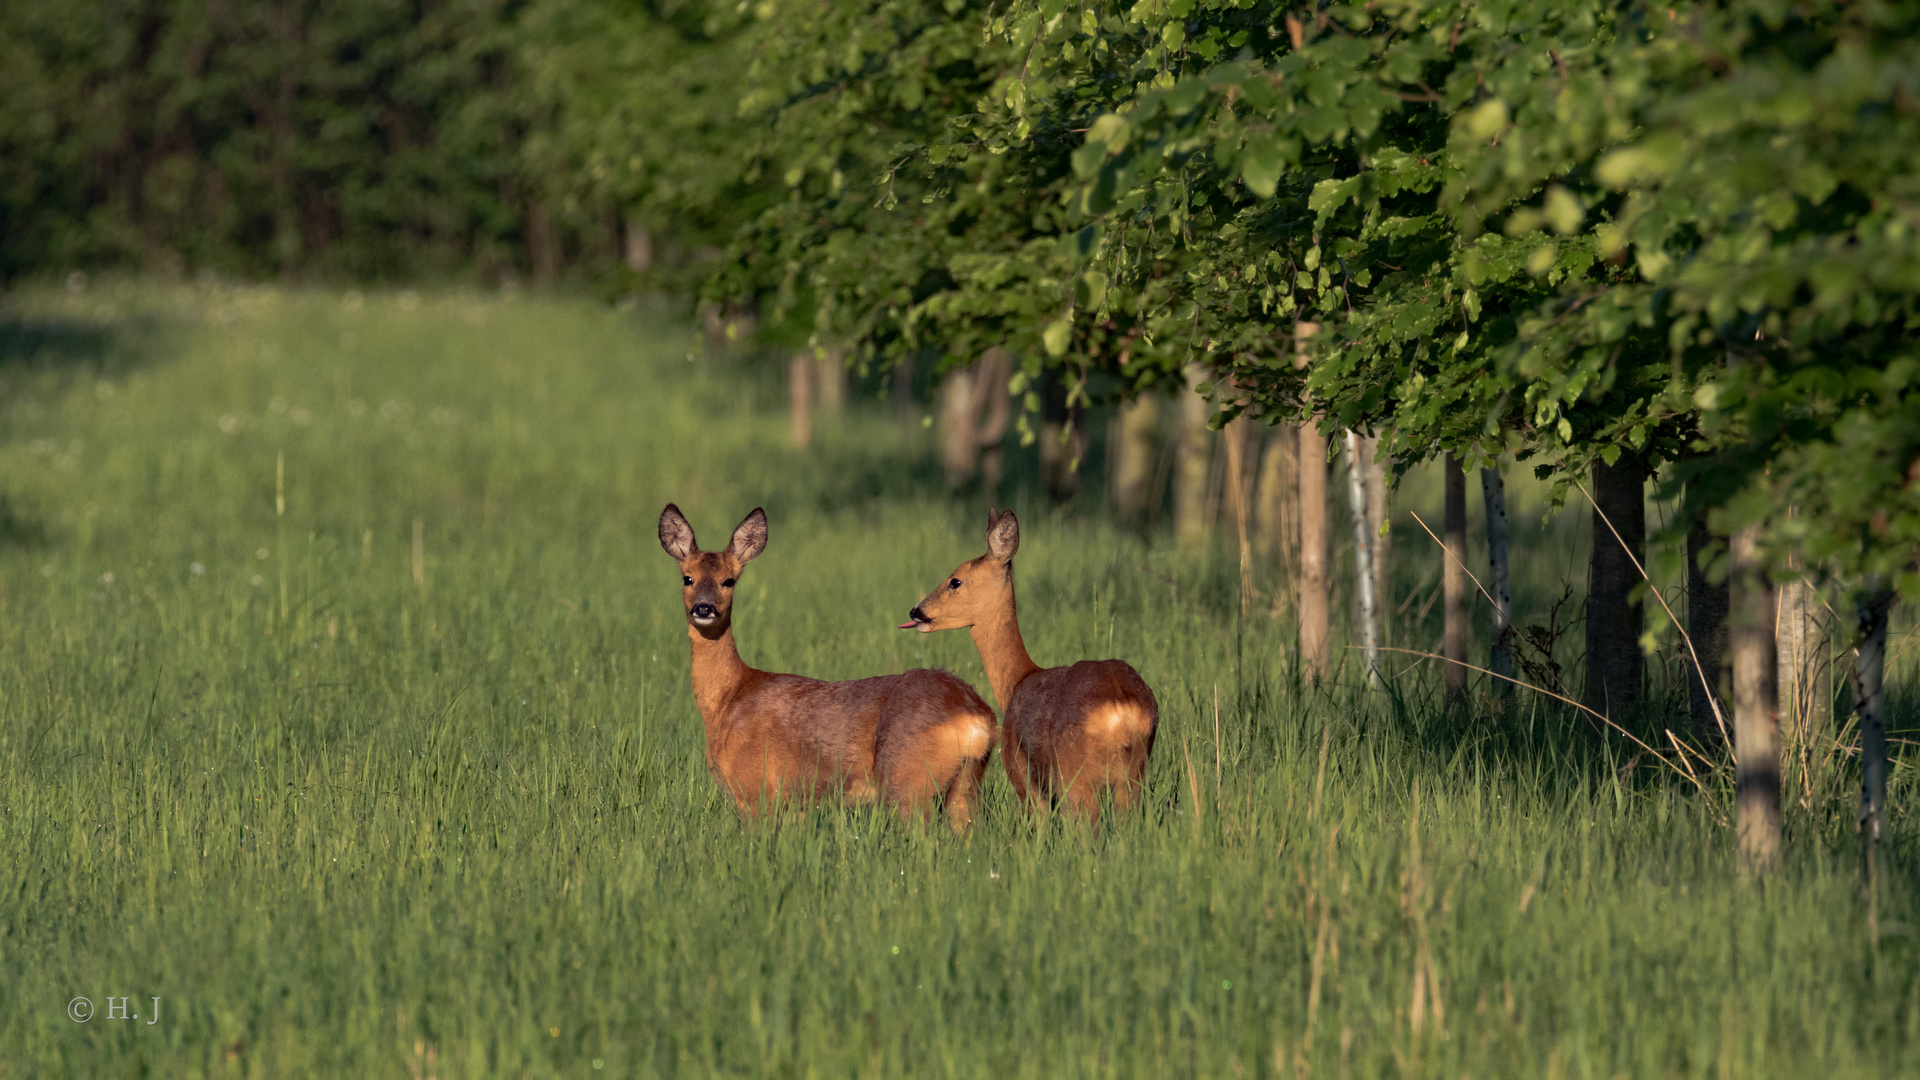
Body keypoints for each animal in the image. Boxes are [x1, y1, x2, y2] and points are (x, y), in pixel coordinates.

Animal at [660, 499, 998, 826]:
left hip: (907, 780)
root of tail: (976, 718)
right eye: (687, 578)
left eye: (728, 580)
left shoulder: (755, 790)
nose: (704, 608)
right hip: (966, 784)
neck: (727, 700)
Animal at [898, 503, 1152, 814]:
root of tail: (1122, 710)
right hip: (1133, 777)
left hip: (1074, 775)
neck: (1018, 680)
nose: (916, 611)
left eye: (955, 581)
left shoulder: (1022, 775)